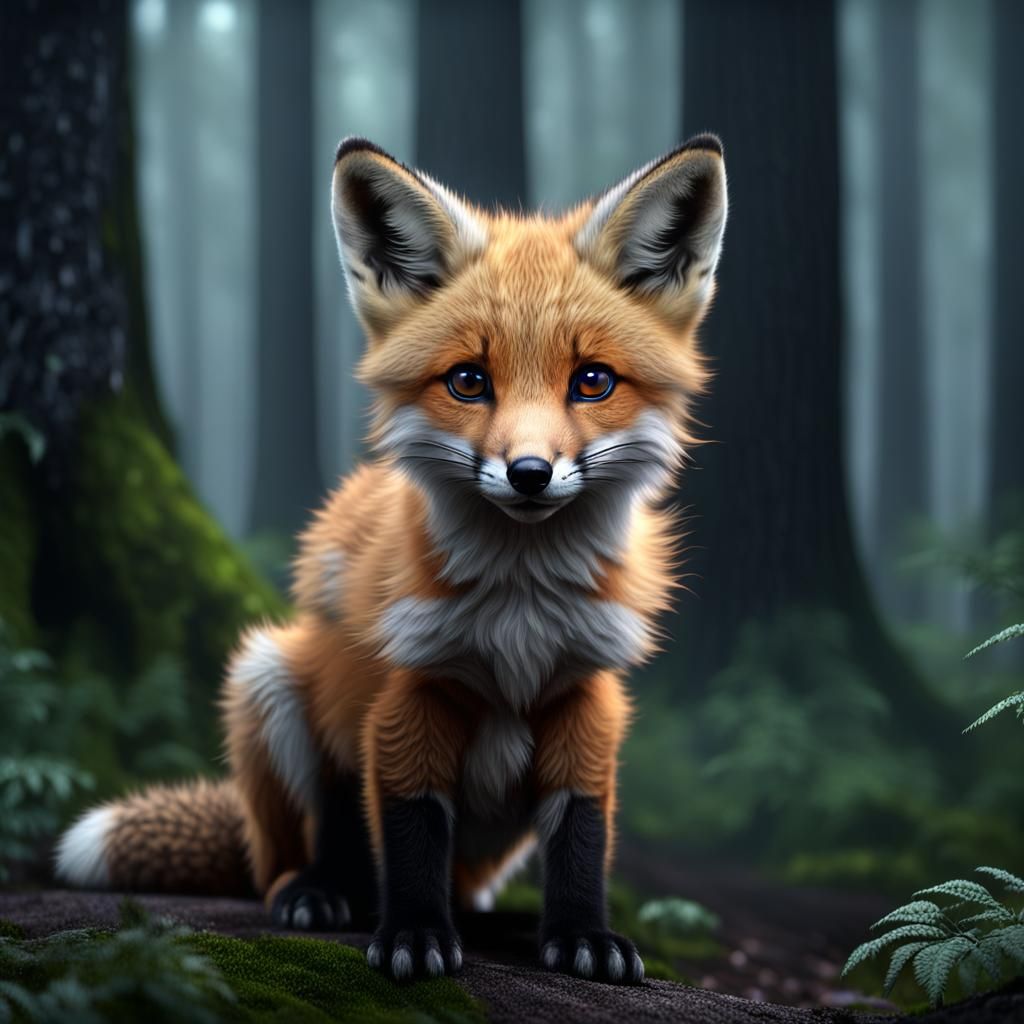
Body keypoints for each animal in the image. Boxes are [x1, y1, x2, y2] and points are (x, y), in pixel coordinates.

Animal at [56, 135, 728, 984]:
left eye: (593, 381)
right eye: (469, 381)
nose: (529, 473)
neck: (520, 605)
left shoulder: (586, 696)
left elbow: (581, 835)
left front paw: (581, 935)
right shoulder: (409, 696)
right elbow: (410, 835)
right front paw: (413, 934)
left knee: (467, 881)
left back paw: (491, 919)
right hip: (268, 681)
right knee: (311, 849)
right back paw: (322, 892)